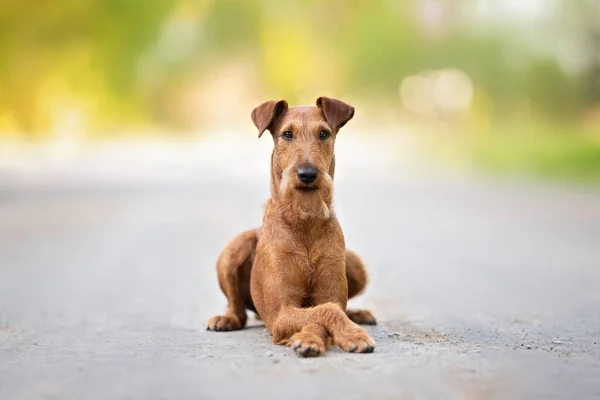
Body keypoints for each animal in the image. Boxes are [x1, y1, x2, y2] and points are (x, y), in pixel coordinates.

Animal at [206, 96, 376, 356]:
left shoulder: (328, 294)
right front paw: (343, 335)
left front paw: (323, 336)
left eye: (324, 133)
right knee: (237, 308)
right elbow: (324, 312)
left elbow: (327, 309)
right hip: (237, 246)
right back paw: (226, 319)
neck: (304, 222)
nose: (307, 174)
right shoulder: (281, 313)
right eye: (287, 134)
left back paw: (358, 314)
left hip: (355, 264)